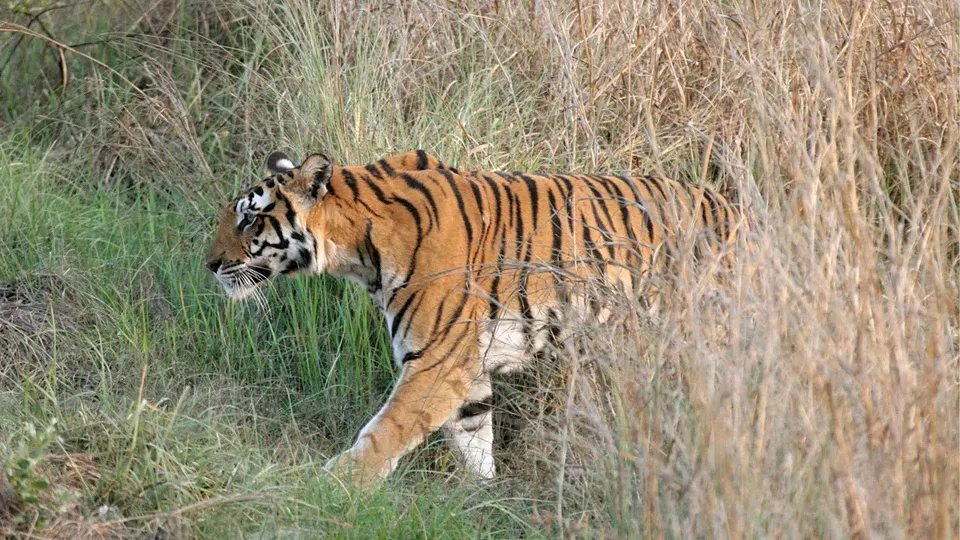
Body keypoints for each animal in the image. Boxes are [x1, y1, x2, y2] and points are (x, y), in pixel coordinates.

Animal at [205, 149, 744, 487]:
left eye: (249, 218)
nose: (208, 264)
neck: (356, 250)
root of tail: (736, 210)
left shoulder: (435, 362)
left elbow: (384, 432)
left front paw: (334, 486)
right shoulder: (468, 365)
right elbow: (474, 438)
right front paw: (482, 501)